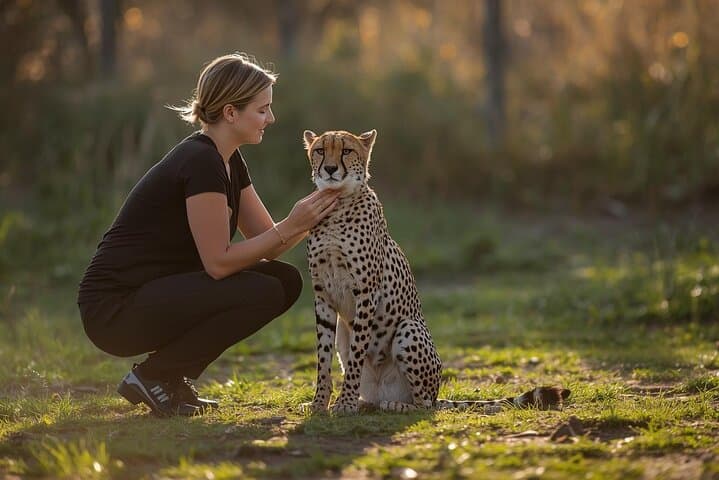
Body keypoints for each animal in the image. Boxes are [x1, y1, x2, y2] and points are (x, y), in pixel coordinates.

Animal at [302, 129, 570, 414]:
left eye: (346, 151)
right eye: (320, 150)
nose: (330, 169)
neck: (338, 206)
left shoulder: (366, 293)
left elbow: (356, 357)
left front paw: (346, 403)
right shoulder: (322, 293)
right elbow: (323, 357)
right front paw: (319, 402)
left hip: (409, 328)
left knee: (424, 404)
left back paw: (394, 405)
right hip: (347, 333)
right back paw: (366, 403)